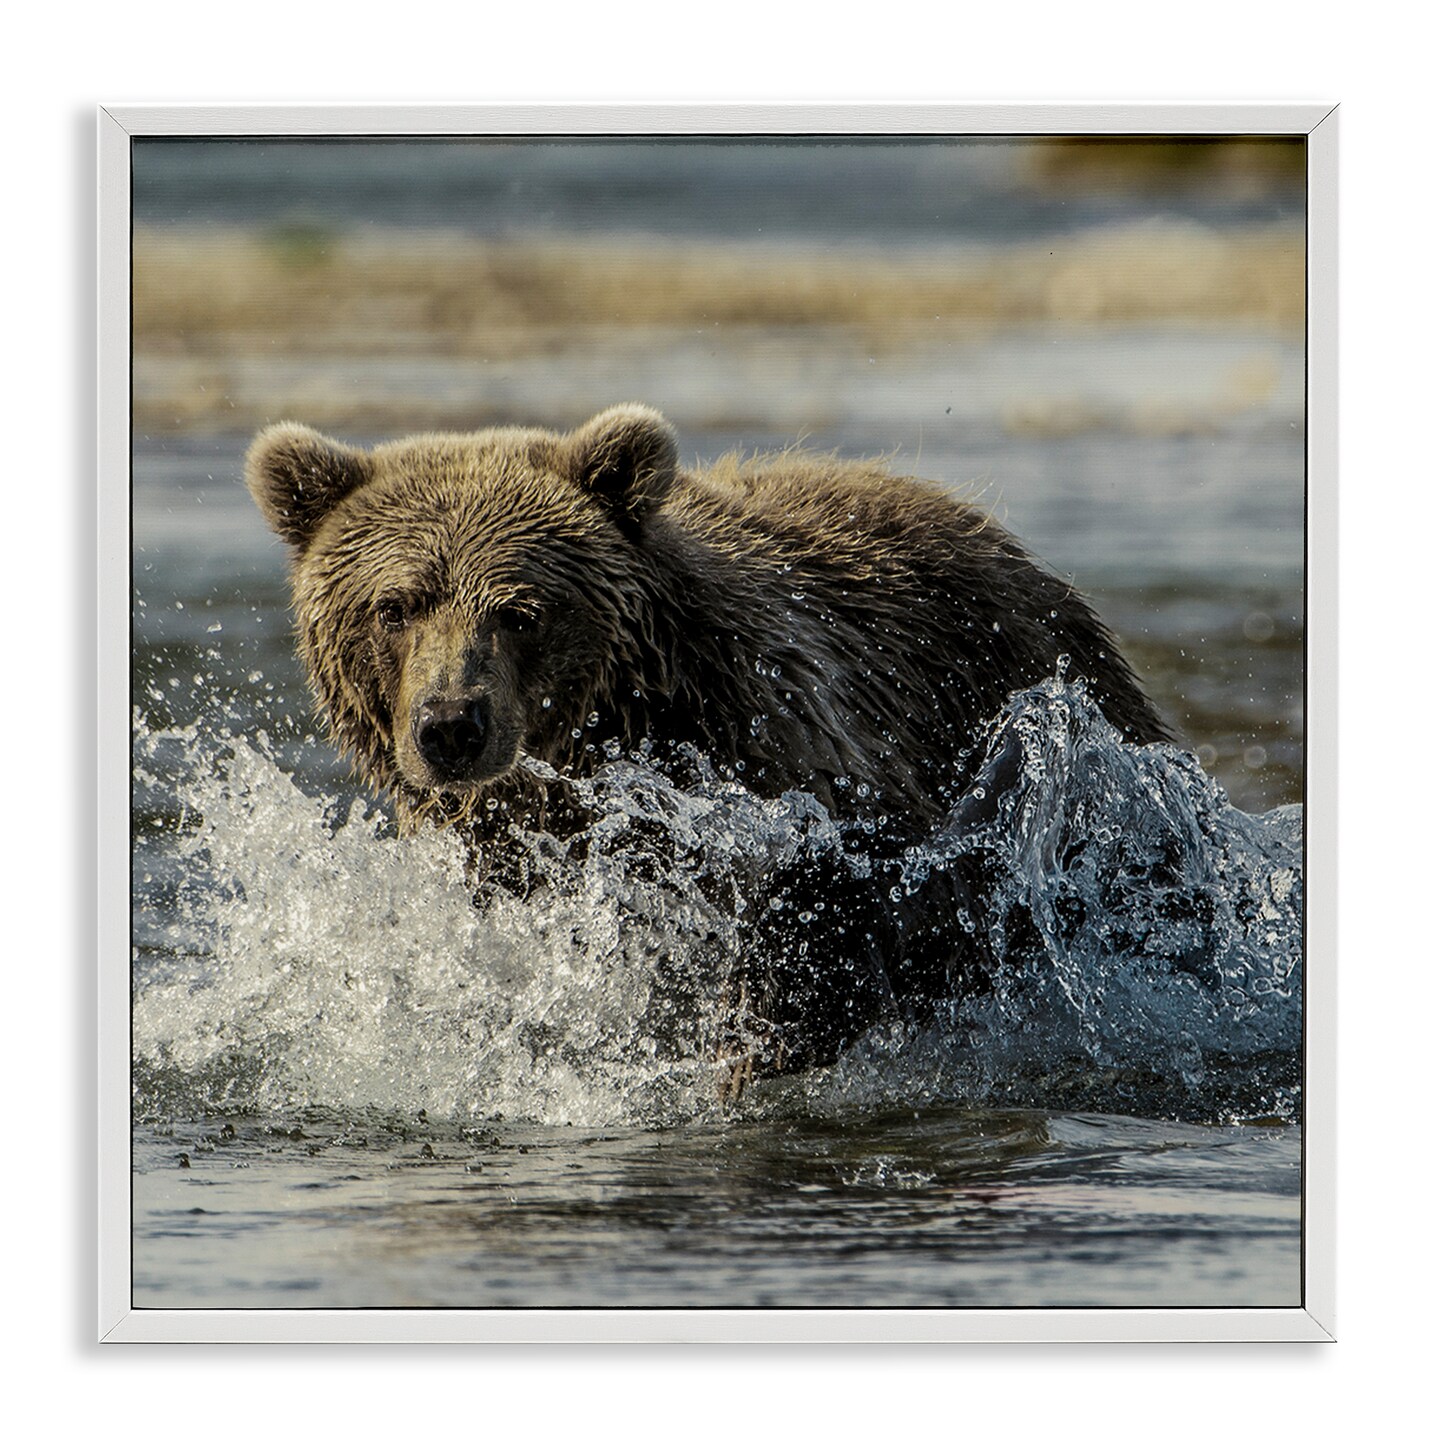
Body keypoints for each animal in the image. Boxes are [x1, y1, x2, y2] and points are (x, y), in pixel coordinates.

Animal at [246, 404, 1169, 1077]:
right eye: (394, 606)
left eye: (521, 611)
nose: (450, 726)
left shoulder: (781, 746)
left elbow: (839, 901)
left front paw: (751, 1044)